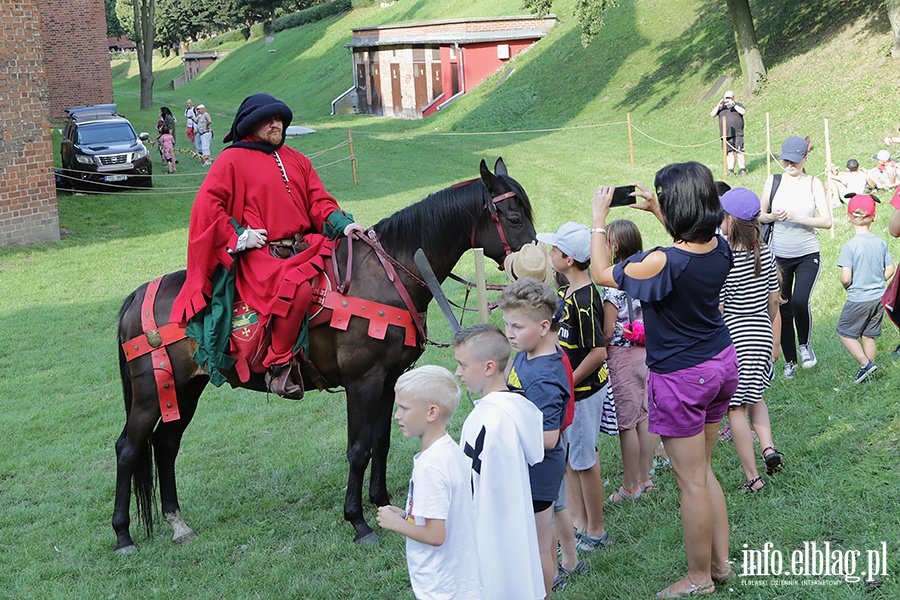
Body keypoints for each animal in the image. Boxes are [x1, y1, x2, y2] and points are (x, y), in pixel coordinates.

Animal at [111, 157, 536, 552]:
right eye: (514, 218)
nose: (533, 270)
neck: (385, 276)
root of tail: (137, 296)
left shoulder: (389, 380)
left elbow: (381, 440)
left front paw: (381, 503)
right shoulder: (362, 381)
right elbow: (358, 449)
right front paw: (357, 521)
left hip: (185, 390)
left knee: (166, 445)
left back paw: (177, 523)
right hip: (151, 395)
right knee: (129, 448)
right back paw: (122, 535)